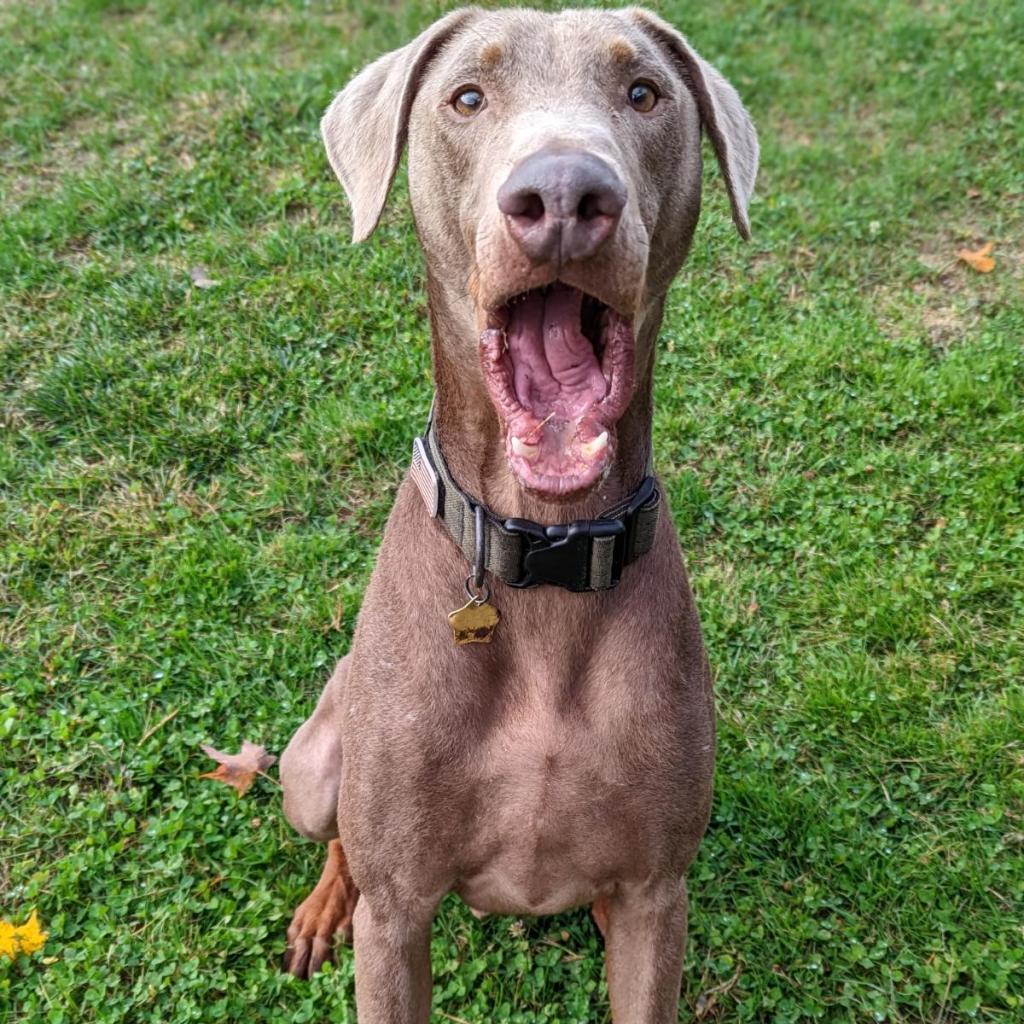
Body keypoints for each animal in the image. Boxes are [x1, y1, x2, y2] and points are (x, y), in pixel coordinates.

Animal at [276, 6, 757, 1015]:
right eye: (467, 97)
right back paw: (324, 905)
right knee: (338, 836)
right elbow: (383, 895)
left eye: (643, 92)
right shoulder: (399, 912)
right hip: (314, 766)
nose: (566, 194)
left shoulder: (659, 891)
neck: (544, 544)